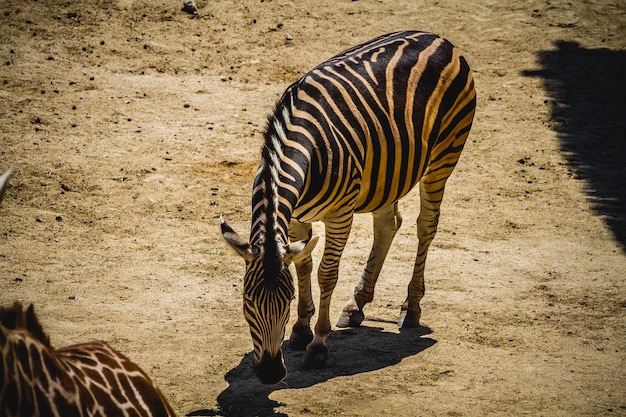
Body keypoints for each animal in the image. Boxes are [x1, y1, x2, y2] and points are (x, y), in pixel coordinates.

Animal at [219, 30, 472, 384]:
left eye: (286, 300)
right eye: (246, 301)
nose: (270, 374)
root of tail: (439, 38)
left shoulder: (340, 216)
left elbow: (326, 274)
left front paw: (318, 345)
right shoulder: (296, 218)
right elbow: (304, 266)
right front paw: (300, 330)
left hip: (444, 155)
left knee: (427, 225)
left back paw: (411, 307)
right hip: (388, 171)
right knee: (388, 224)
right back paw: (357, 305)